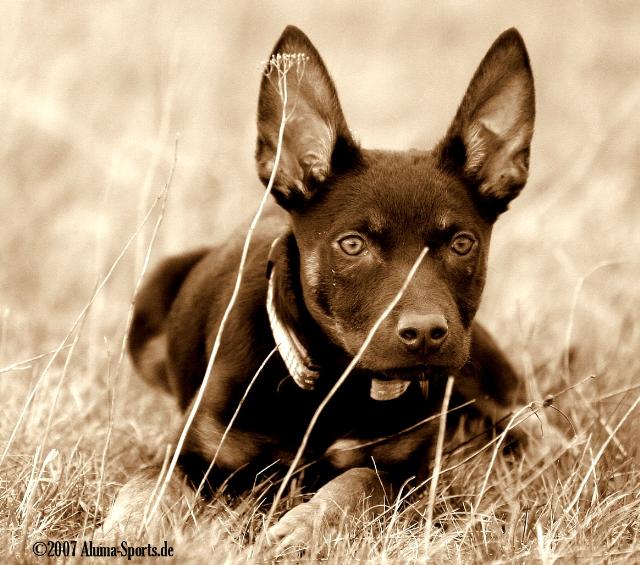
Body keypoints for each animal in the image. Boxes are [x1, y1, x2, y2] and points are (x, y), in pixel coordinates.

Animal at [102, 25, 564, 548]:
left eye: (462, 243)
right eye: (352, 244)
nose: (426, 334)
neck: (333, 382)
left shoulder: (407, 471)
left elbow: (359, 482)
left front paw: (305, 526)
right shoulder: (192, 451)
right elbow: (144, 486)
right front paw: (122, 529)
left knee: (532, 422)